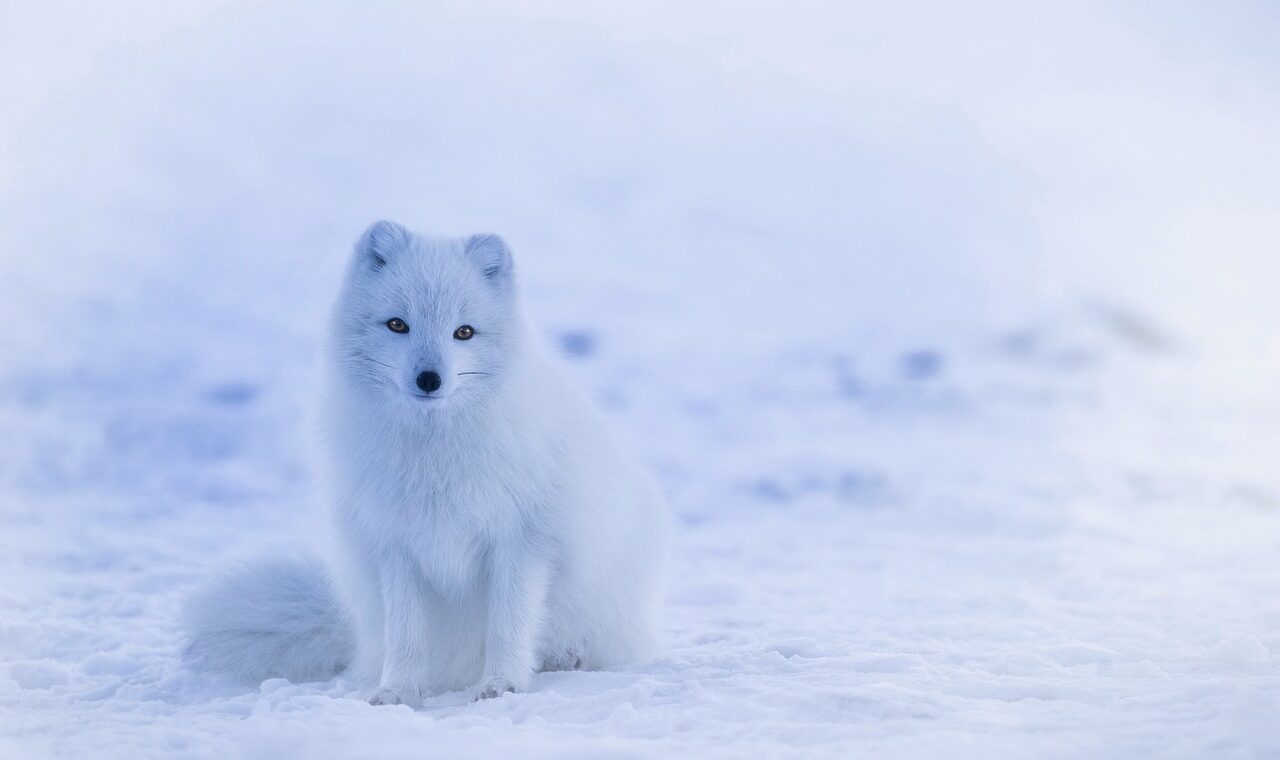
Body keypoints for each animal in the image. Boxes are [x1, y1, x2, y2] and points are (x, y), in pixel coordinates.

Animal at [184, 221, 669, 705]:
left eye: (464, 332)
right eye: (398, 324)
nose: (429, 379)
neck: (434, 454)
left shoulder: (522, 543)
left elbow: (508, 626)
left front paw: (502, 685)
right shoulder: (397, 546)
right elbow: (406, 635)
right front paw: (397, 691)